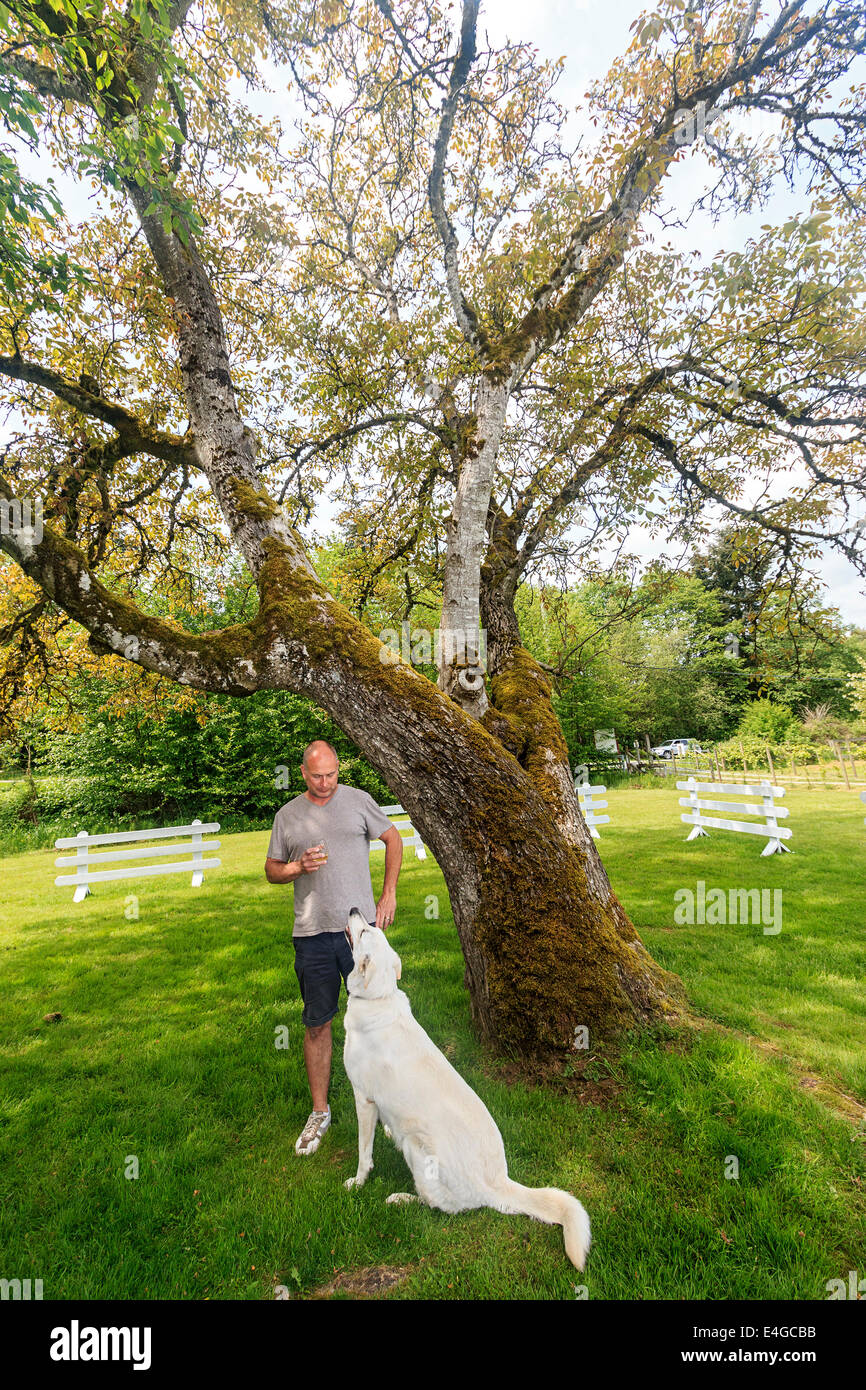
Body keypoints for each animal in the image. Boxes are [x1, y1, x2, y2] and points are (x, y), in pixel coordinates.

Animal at [341, 906, 592, 1273]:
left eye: (362, 933)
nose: (354, 909)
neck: (379, 997)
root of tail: (497, 1183)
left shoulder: (363, 1097)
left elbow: (364, 1153)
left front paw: (358, 1183)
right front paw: (385, 1132)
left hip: (417, 1148)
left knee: (441, 1208)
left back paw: (402, 1199)